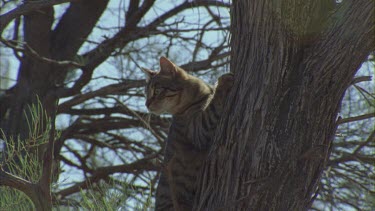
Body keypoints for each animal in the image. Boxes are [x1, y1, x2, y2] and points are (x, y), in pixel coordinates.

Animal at [142, 56, 234, 211]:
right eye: (146, 94)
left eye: (156, 91)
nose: (146, 104)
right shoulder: (198, 130)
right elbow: (213, 107)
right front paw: (222, 82)